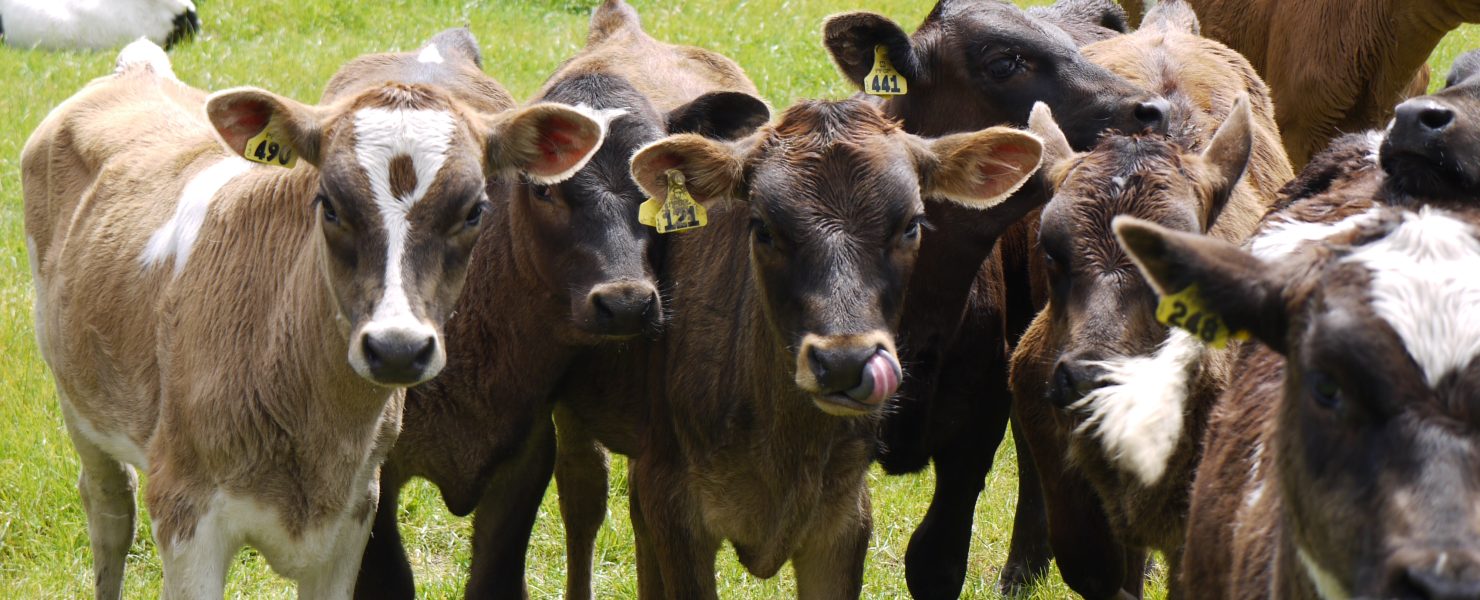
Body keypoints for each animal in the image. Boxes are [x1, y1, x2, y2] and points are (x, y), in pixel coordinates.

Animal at [23, 35, 603, 595]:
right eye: (329, 204)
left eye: (475, 210)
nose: (396, 347)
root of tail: (137, 71)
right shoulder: (187, 515)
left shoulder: (353, 521)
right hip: (76, 397)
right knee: (110, 509)